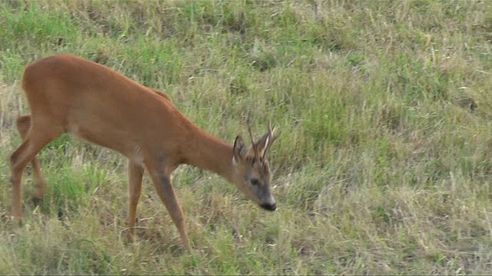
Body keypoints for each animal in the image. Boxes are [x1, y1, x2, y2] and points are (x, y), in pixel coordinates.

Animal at [9, 54, 276, 250]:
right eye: (253, 179)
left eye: (270, 176)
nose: (271, 204)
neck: (181, 140)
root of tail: (26, 72)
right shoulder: (156, 162)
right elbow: (176, 210)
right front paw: (190, 251)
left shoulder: (135, 157)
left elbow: (133, 196)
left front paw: (130, 237)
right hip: (50, 119)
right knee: (16, 157)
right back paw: (18, 219)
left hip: (47, 119)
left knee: (21, 123)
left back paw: (39, 192)